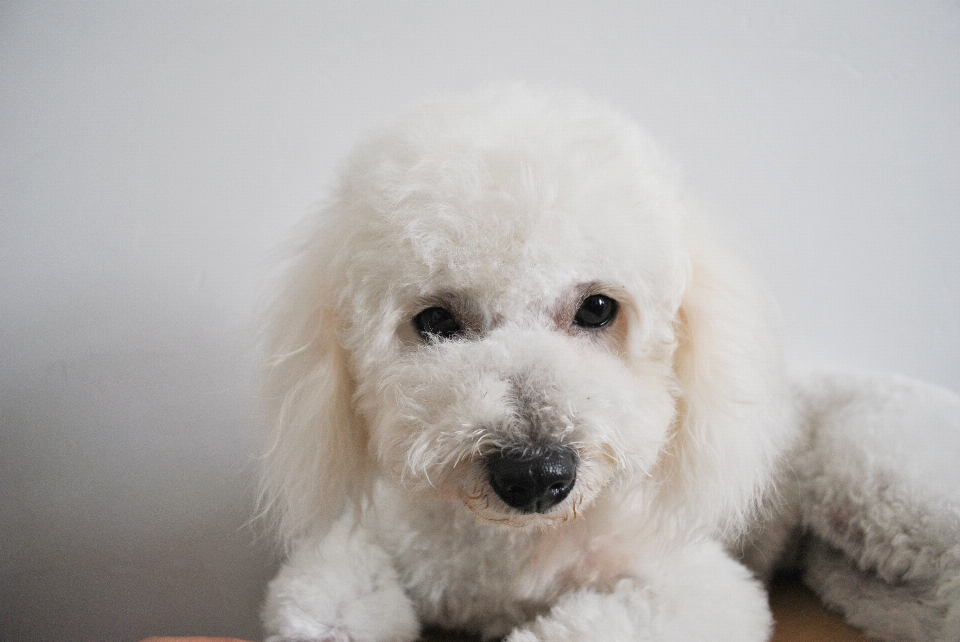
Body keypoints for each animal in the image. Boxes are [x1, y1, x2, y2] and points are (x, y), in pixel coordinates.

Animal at [256, 86, 960, 640]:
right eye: (434, 321)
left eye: (598, 308)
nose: (535, 474)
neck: (513, 546)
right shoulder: (360, 545)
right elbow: (325, 603)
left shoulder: (694, 587)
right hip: (852, 567)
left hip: (877, 476)